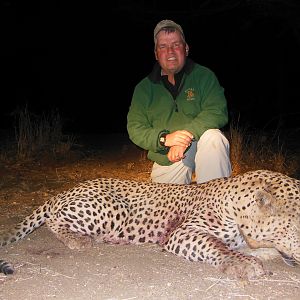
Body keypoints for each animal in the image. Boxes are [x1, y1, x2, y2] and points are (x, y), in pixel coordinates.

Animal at [0, 169, 298, 278]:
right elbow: (215, 245)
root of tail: (65, 191)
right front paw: (242, 263)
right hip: (112, 209)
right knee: (53, 219)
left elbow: (265, 250)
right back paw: (79, 240)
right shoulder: (183, 232)